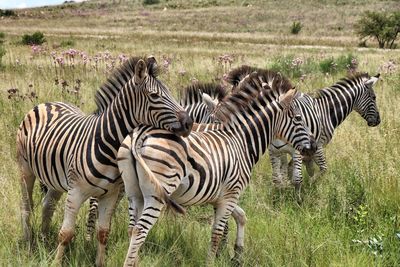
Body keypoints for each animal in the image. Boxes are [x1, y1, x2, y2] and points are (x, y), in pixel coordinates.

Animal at [16, 56, 195, 267]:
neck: (106, 144)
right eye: (154, 96)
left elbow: (103, 232)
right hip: (25, 168)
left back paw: (44, 240)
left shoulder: (110, 194)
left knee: (48, 205)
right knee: (26, 206)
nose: (189, 123)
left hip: (55, 178)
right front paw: (56, 263)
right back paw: (29, 244)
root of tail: (48, 103)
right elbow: (66, 233)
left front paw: (99, 262)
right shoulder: (76, 191)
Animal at [117, 70, 318, 266]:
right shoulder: (231, 193)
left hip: (134, 193)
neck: (240, 140)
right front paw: (214, 260)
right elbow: (217, 233)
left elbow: (241, 216)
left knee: (131, 229)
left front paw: (237, 254)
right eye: (299, 118)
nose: (314, 147)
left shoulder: (220, 196)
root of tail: (141, 133)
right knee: (140, 230)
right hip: (158, 192)